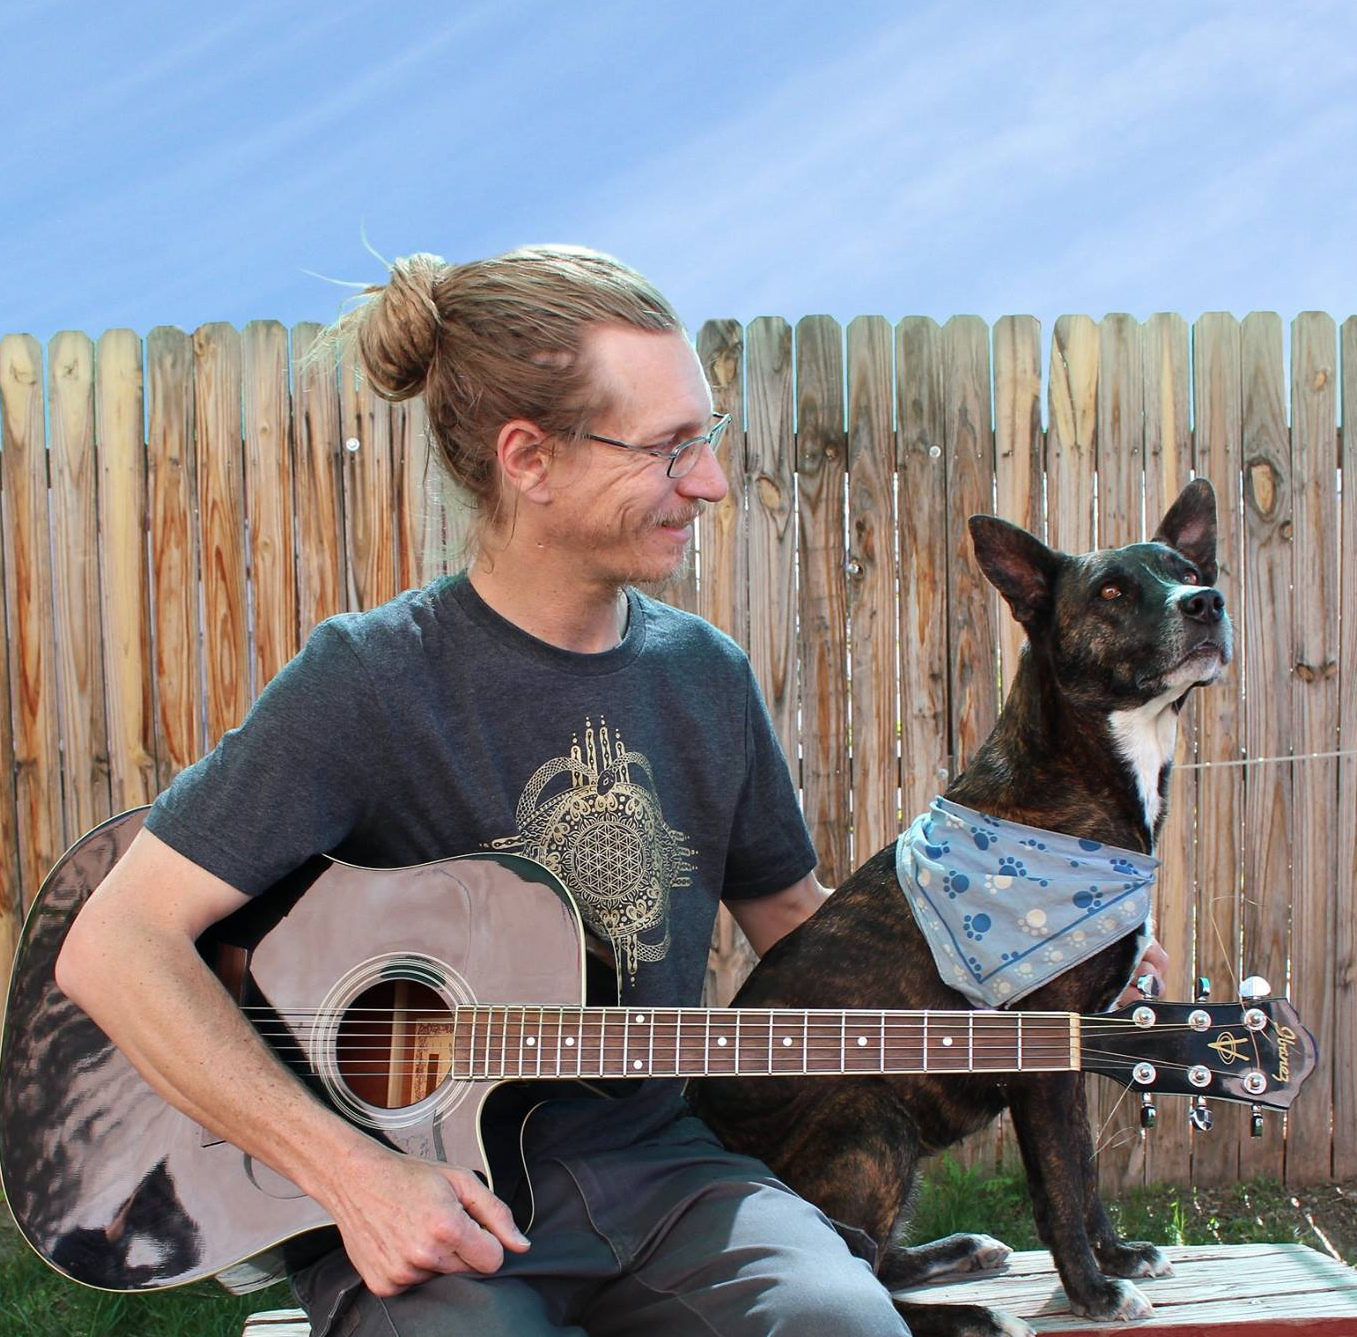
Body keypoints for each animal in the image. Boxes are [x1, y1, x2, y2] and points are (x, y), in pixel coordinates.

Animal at [694, 475, 1237, 1330]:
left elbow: (1085, 1171)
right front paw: (1091, 1289)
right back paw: (975, 1312)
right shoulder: (1038, 1057)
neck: (1076, 770)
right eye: (1112, 591)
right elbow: (1059, 1183)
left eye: (1184, 568)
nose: (1205, 601)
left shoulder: (1071, 1051)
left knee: (876, 1257)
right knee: (851, 1272)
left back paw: (962, 1252)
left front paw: (1115, 1257)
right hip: (870, 1116)